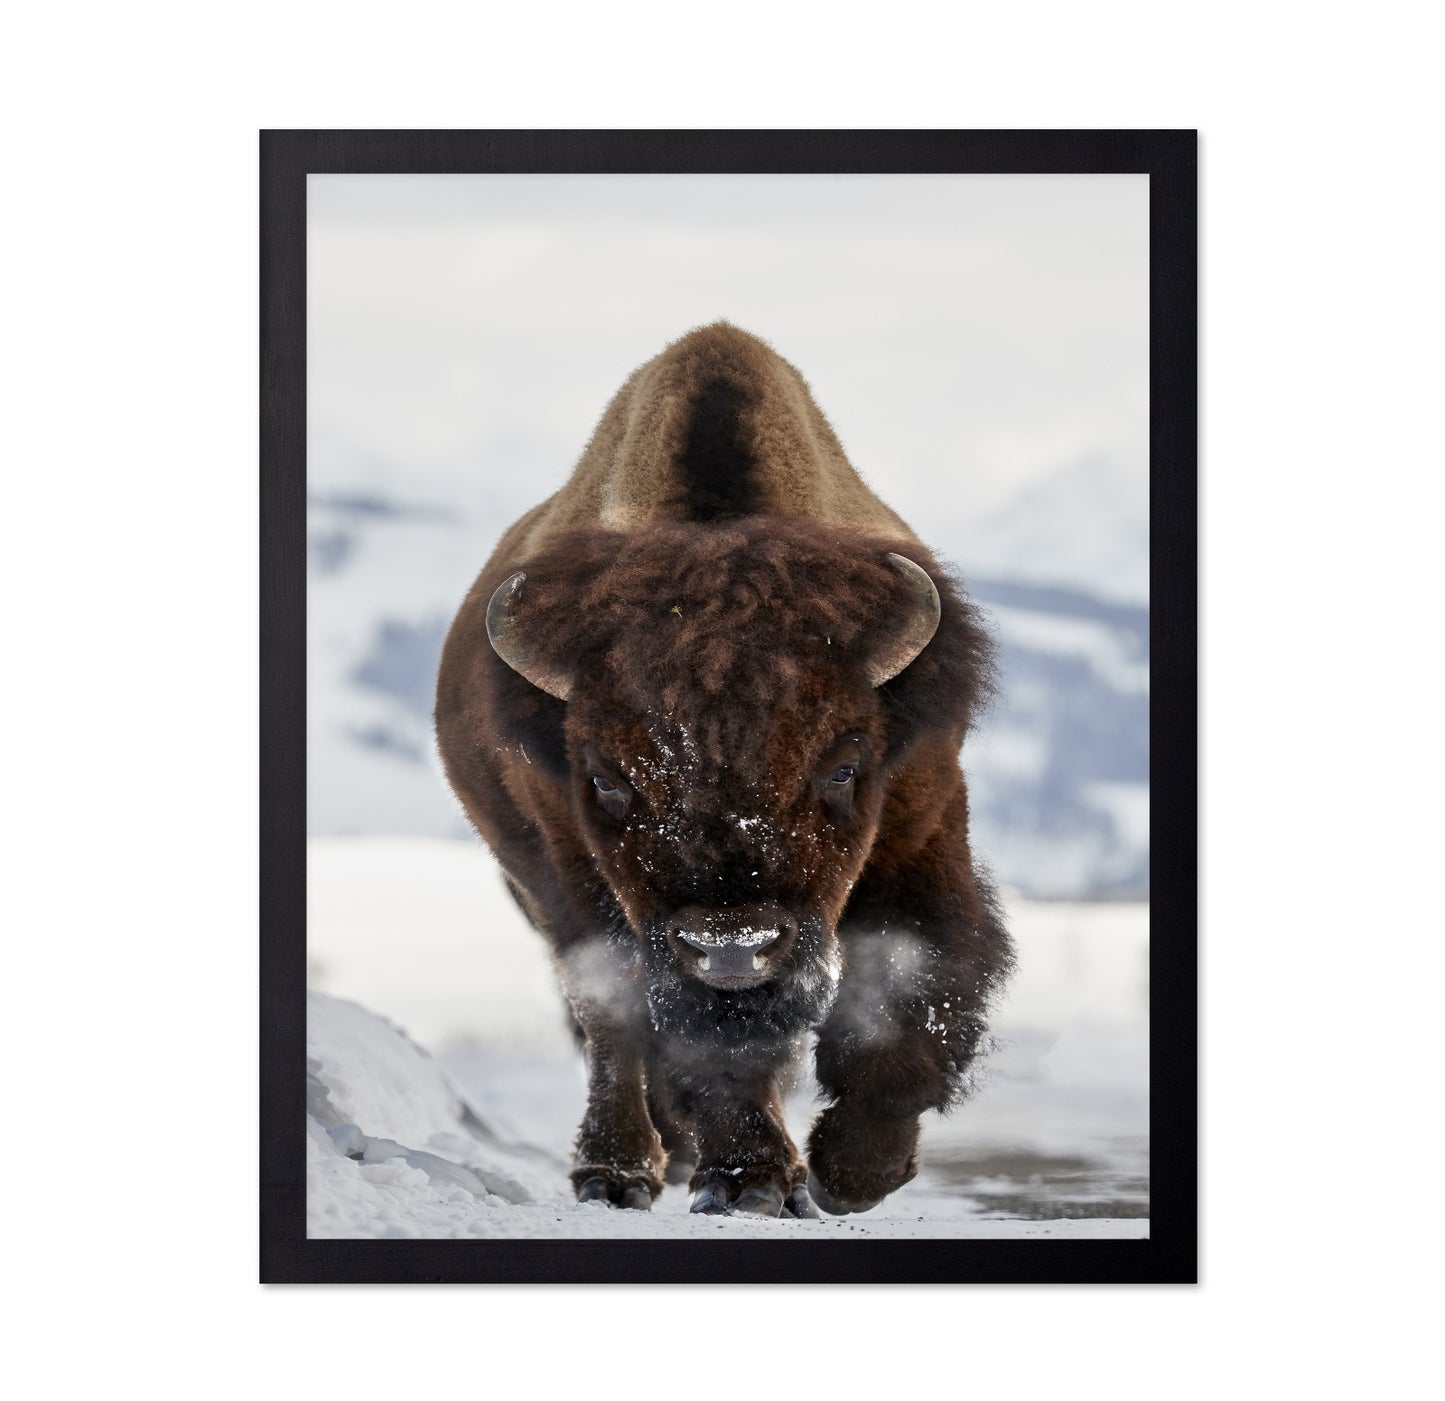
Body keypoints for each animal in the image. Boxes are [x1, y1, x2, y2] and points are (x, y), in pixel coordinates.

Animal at [436, 323, 1013, 1218]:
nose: (733, 948)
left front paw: (852, 1171)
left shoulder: (920, 824)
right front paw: (748, 1179)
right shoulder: (580, 873)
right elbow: (678, 1034)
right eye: (606, 778)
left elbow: (913, 980)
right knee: (610, 1024)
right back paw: (619, 1170)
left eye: (844, 765)